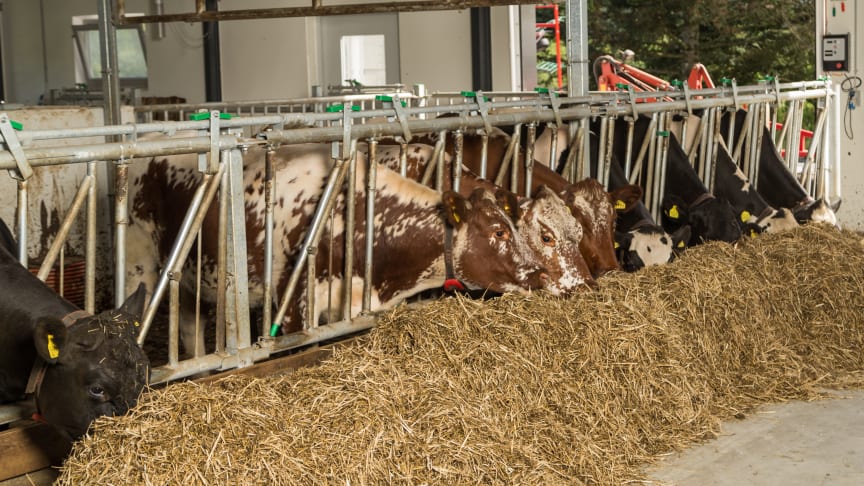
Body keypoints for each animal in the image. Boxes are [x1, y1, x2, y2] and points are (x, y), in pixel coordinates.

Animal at [125, 140, 552, 354]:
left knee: (189, 331)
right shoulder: (293, 308)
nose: (541, 274)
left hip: (192, 281)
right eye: (499, 232)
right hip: (140, 267)